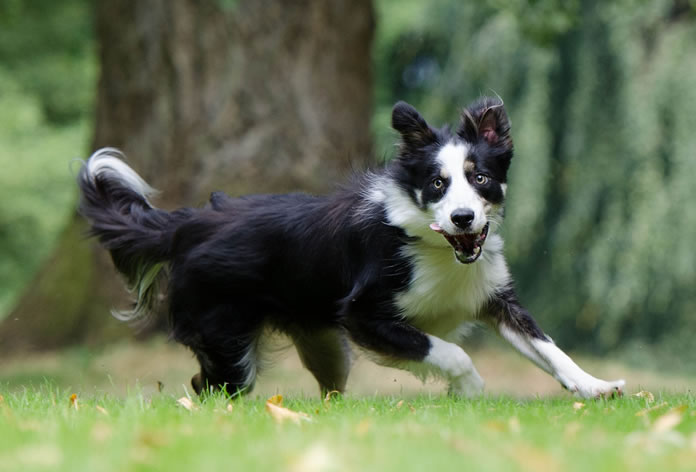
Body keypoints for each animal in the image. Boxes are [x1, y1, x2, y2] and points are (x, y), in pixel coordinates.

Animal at [77, 98, 624, 398]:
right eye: (437, 184)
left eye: (481, 179)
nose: (463, 218)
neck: (434, 246)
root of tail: (188, 224)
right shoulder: (364, 314)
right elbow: (448, 351)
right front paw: (469, 389)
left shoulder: (492, 296)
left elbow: (549, 348)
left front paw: (596, 386)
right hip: (227, 337)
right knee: (207, 386)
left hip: (322, 344)